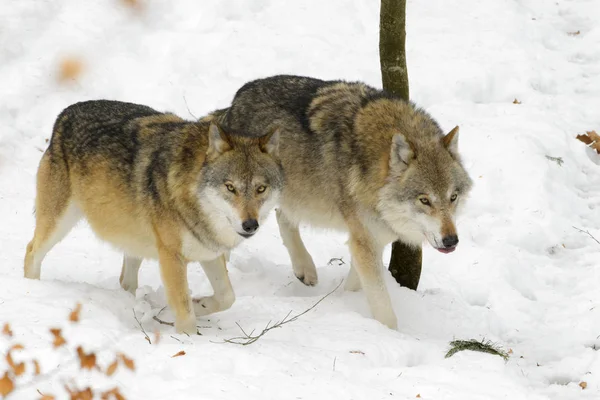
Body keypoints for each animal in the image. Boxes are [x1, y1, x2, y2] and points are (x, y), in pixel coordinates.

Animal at [24, 100, 282, 334]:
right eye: (230, 187)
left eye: (261, 189)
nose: (250, 225)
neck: (190, 190)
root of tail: (65, 113)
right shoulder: (171, 256)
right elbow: (185, 312)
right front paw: (189, 340)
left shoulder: (209, 251)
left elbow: (227, 296)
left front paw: (199, 304)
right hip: (59, 224)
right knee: (31, 251)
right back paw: (31, 288)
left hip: (132, 242)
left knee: (126, 281)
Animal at [206, 76, 474, 332]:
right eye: (425, 200)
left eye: (453, 197)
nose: (451, 240)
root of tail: (236, 100)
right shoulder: (364, 241)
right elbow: (382, 304)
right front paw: (391, 335)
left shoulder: (370, 238)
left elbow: (356, 282)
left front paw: (346, 300)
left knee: (284, 218)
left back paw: (305, 269)